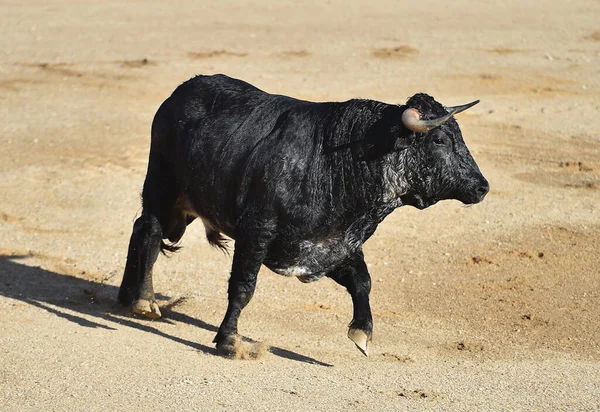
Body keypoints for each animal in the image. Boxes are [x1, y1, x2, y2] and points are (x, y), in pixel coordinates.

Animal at [117, 74, 488, 358]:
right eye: (439, 139)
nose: (482, 187)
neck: (336, 161)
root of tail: (180, 93)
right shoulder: (257, 231)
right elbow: (243, 286)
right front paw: (229, 341)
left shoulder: (332, 244)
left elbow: (362, 281)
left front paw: (362, 333)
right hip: (161, 183)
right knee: (149, 230)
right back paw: (145, 301)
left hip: (185, 204)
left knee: (138, 228)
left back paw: (125, 296)